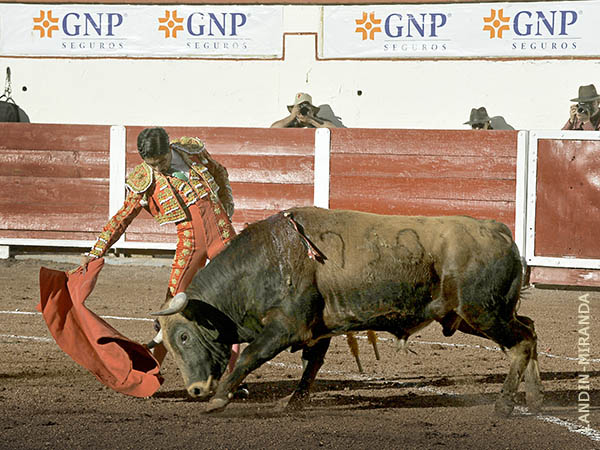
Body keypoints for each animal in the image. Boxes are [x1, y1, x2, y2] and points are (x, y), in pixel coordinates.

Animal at [151, 207, 544, 414]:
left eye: (184, 336)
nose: (196, 390)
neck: (264, 262)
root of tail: (499, 230)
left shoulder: (286, 327)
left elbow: (249, 355)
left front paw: (219, 399)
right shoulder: (317, 329)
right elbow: (311, 367)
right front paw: (293, 403)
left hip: (483, 313)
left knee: (522, 342)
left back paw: (506, 404)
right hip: (472, 317)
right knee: (530, 329)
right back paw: (535, 398)